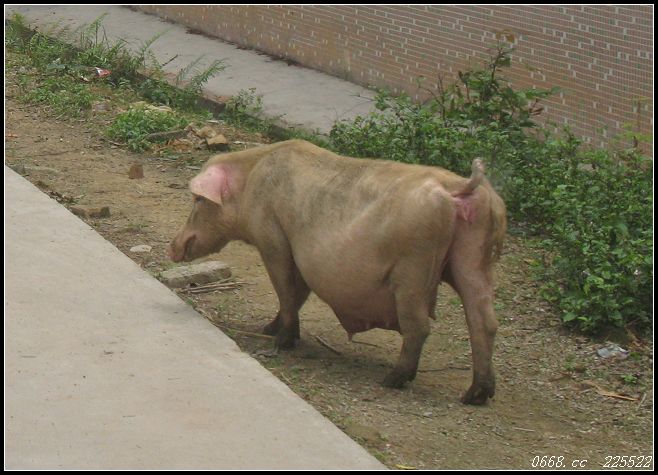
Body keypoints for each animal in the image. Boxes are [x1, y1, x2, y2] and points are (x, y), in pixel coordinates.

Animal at [169, 140, 506, 405]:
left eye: (197, 199)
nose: (172, 247)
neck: (251, 181)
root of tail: (458, 188)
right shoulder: (301, 254)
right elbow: (297, 293)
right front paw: (269, 328)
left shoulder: (273, 238)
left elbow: (285, 289)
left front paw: (280, 342)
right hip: (473, 257)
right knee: (485, 322)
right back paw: (475, 396)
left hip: (414, 265)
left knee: (420, 326)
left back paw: (392, 380)